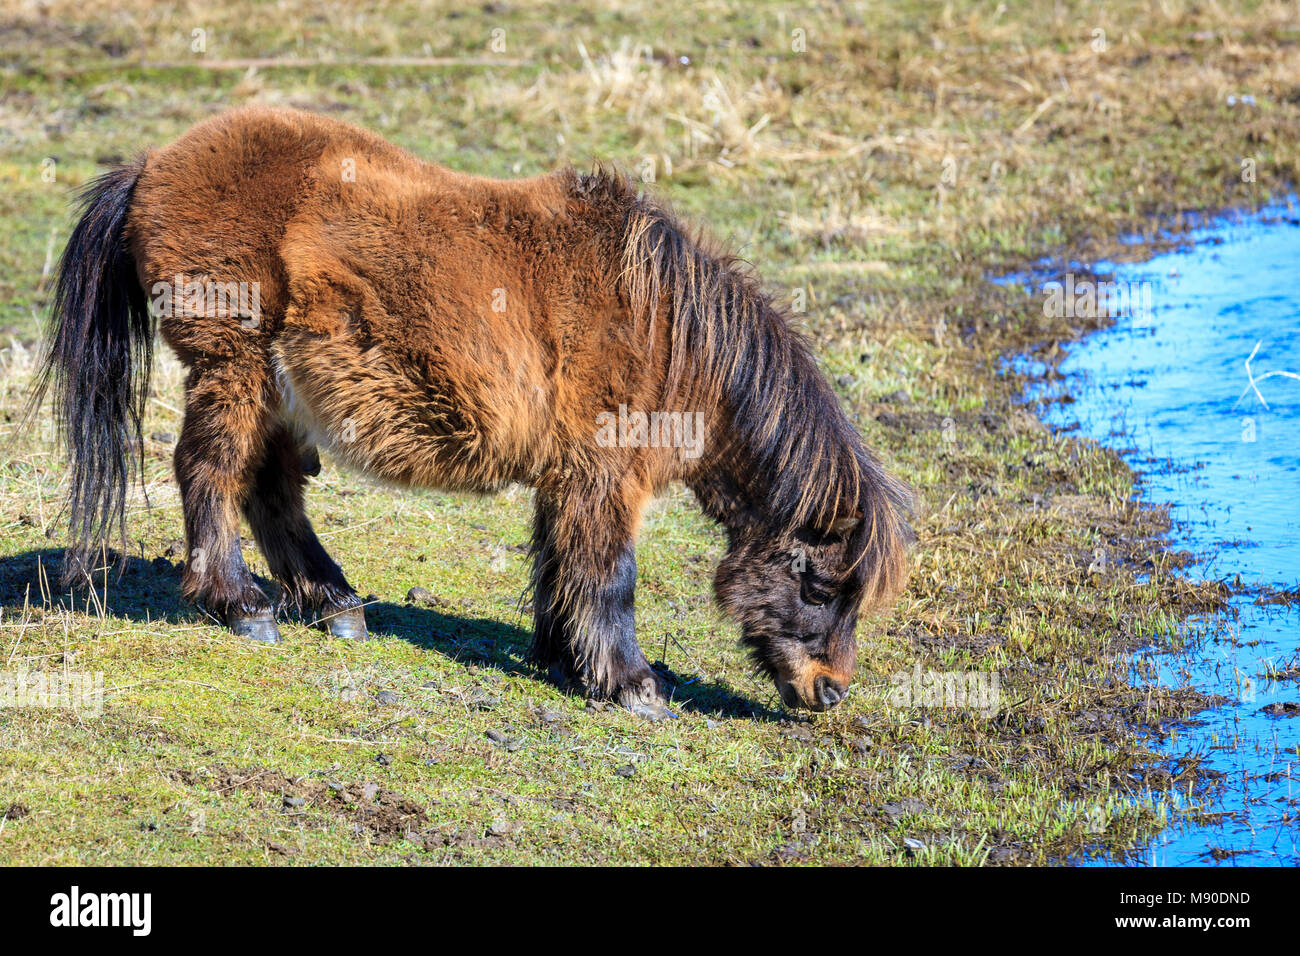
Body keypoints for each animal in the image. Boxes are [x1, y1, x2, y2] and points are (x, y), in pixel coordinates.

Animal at [25, 106, 909, 717]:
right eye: (818, 585)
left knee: (269, 490)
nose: (831, 691)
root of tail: (152, 165)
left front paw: (563, 659)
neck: (669, 332)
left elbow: (559, 561)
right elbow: (611, 575)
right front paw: (632, 685)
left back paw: (335, 607)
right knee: (210, 472)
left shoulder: (570, 476)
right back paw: (241, 606)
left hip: (275, 385)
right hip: (231, 365)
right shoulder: (605, 475)